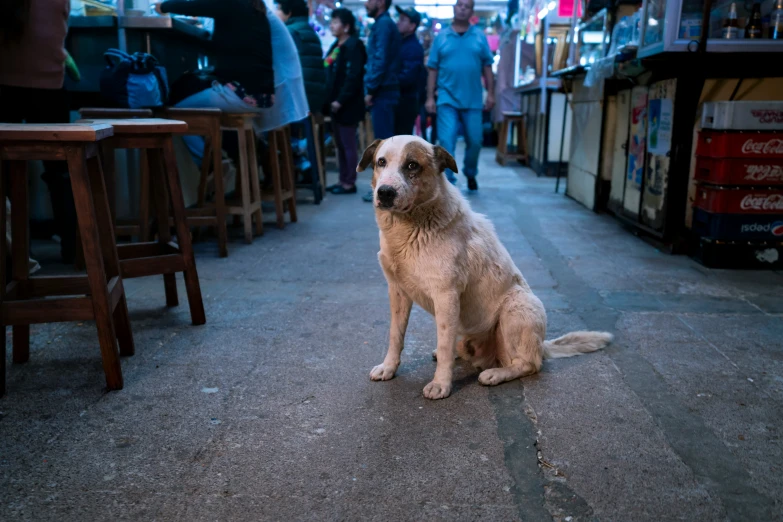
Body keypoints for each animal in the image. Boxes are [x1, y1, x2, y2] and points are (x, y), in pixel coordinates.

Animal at [356, 135, 612, 398]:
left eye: (412, 165)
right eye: (381, 162)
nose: (385, 192)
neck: (408, 228)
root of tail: (542, 346)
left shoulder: (446, 296)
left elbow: (444, 344)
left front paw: (441, 384)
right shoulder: (397, 291)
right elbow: (395, 336)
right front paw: (389, 367)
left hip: (516, 309)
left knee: (529, 364)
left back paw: (496, 373)